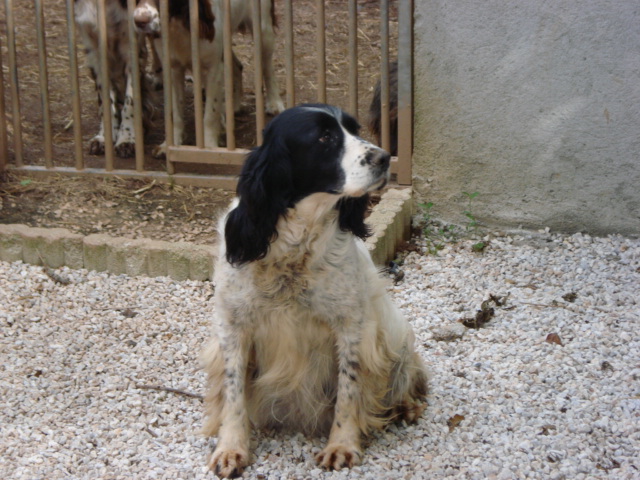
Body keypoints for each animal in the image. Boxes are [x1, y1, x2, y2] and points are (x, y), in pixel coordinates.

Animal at [74, 0, 154, 158]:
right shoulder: (96, 53)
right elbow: (106, 104)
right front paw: (104, 137)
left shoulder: (133, 50)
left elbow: (130, 104)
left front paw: (127, 139)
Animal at [201, 104, 428, 478]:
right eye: (324, 137)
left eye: (354, 130)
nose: (384, 158)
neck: (296, 247)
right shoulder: (233, 326)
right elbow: (233, 393)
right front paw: (231, 448)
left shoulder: (352, 327)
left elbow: (349, 389)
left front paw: (341, 445)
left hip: (396, 336)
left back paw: (407, 406)